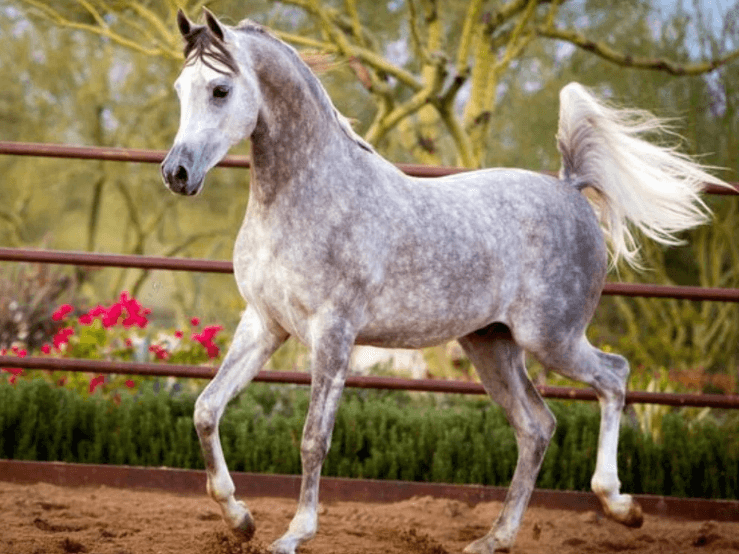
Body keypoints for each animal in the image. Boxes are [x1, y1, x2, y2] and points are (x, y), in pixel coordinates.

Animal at [161, 9, 728, 554]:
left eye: (220, 90)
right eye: (179, 89)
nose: (176, 174)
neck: (308, 197)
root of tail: (571, 189)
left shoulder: (334, 334)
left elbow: (313, 439)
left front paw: (294, 533)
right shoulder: (265, 325)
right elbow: (206, 408)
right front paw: (239, 519)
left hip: (552, 339)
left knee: (614, 377)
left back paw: (620, 506)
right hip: (491, 345)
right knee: (537, 427)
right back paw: (495, 538)